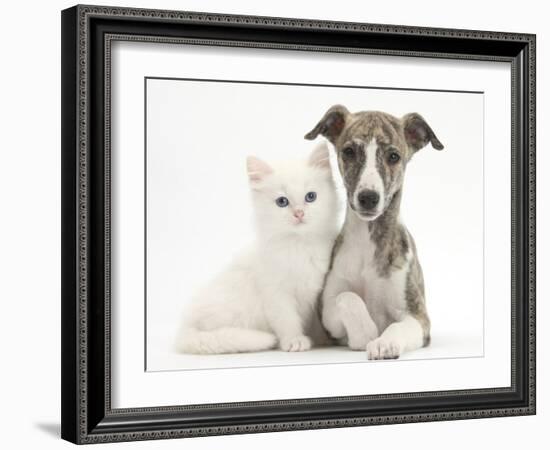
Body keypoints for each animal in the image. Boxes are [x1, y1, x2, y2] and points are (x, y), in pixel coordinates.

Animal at [177, 142, 340, 354]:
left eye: (311, 197)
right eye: (282, 201)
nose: (299, 213)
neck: (299, 244)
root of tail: (184, 329)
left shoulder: (314, 294)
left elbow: (315, 322)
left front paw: (321, 339)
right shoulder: (276, 294)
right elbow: (287, 320)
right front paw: (294, 341)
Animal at [304, 104, 446, 358]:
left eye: (394, 156)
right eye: (349, 151)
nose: (368, 197)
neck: (368, 241)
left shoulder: (418, 316)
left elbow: (397, 326)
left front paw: (384, 343)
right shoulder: (326, 312)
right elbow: (347, 298)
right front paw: (365, 333)